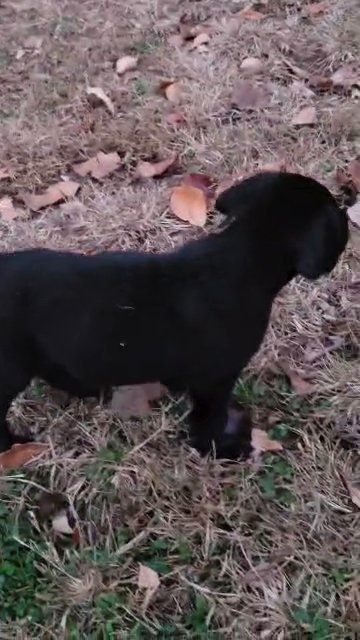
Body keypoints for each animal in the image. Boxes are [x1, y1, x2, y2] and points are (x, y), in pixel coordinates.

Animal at [0, 172, 348, 456]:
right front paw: (220, 449)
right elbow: (209, 418)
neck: (241, 255)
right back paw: (14, 445)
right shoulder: (216, 379)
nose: (347, 213)